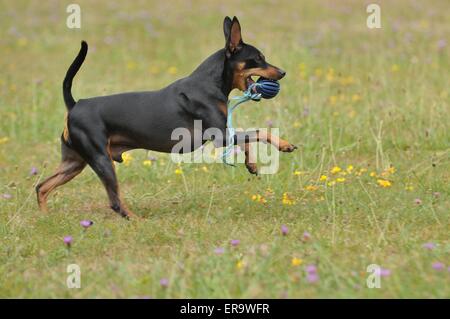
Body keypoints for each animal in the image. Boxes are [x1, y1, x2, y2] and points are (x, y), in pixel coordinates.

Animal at [37, 16, 298, 218]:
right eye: (259, 57)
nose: (283, 72)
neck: (209, 82)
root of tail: (74, 105)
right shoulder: (220, 136)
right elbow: (258, 132)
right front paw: (284, 145)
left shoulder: (226, 134)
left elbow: (247, 138)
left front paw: (251, 164)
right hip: (101, 159)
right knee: (114, 202)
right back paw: (137, 221)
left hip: (75, 162)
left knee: (41, 187)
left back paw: (46, 219)